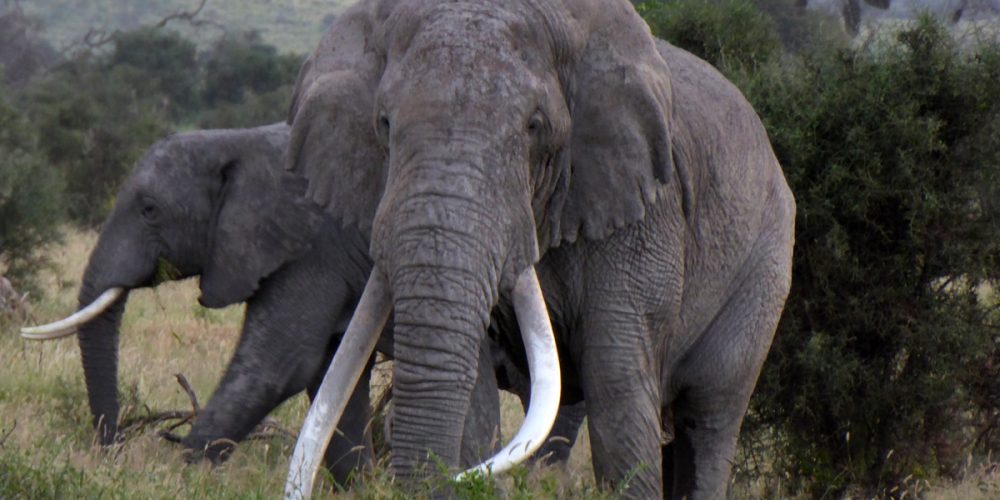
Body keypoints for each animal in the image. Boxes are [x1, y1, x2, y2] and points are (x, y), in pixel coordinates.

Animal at [19, 121, 584, 484]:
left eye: (150, 210)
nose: (111, 455)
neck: (236, 141)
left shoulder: (311, 247)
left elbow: (280, 363)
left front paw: (181, 480)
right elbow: (331, 377)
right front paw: (360, 486)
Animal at [288, 0, 796, 500]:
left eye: (535, 127)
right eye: (384, 123)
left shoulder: (647, 212)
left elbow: (616, 383)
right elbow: (473, 386)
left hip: (765, 268)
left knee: (708, 418)